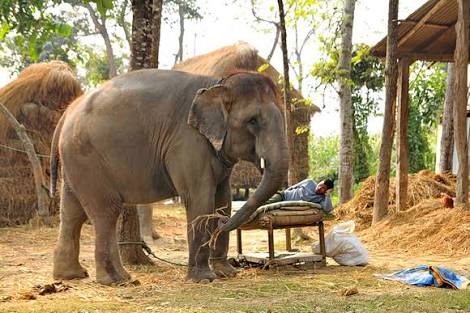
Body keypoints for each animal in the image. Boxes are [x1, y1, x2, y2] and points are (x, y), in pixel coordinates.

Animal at [49, 69, 288, 284]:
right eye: (253, 121)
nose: (220, 226)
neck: (217, 83)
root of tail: (67, 112)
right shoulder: (189, 143)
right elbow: (200, 199)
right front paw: (205, 279)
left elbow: (224, 200)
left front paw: (227, 273)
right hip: (88, 159)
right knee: (106, 212)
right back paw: (119, 280)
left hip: (75, 163)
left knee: (72, 213)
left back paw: (71, 275)